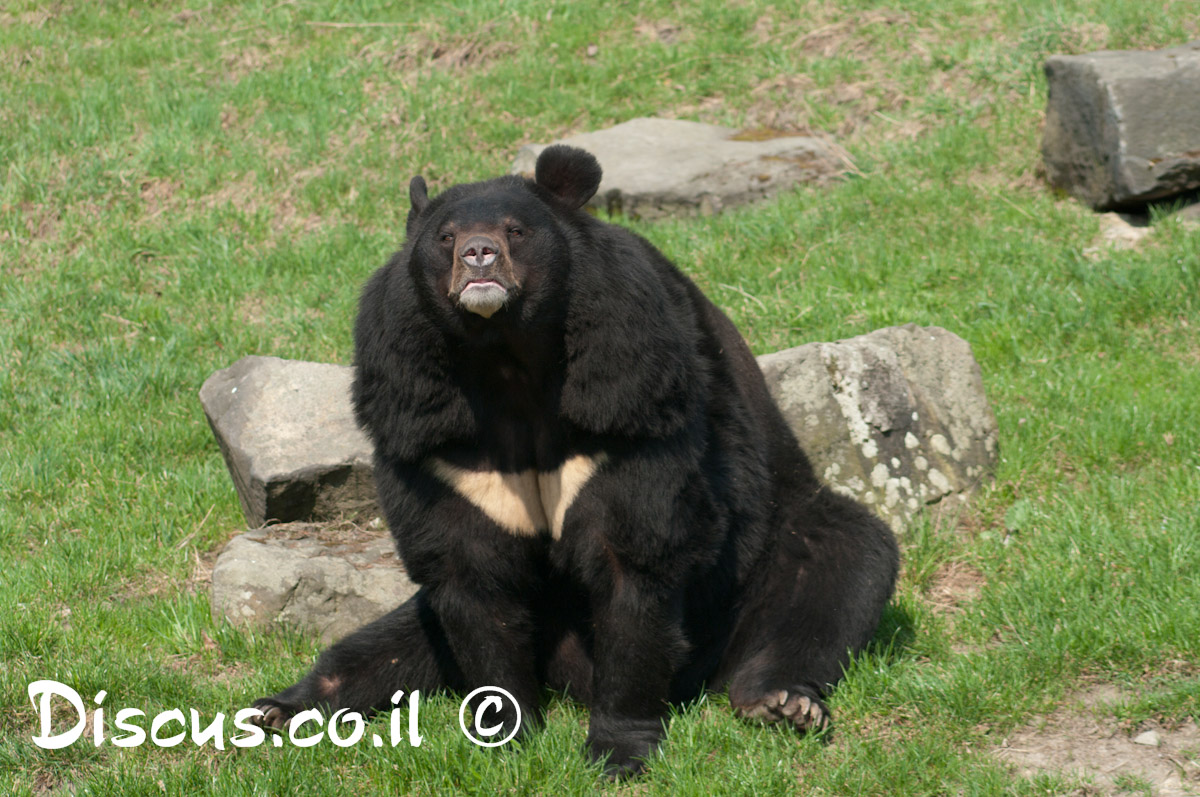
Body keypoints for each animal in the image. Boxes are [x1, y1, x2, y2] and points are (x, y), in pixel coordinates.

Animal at [258, 146, 902, 772]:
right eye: (444, 236)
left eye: (515, 230)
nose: (478, 257)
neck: (507, 356)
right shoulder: (424, 423)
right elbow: (468, 572)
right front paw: (508, 735)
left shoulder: (630, 396)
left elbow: (634, 557)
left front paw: (617, 752)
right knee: (393, 640)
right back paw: (282, 708)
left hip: (774, 541)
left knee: (836, 571)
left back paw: (783, 702)